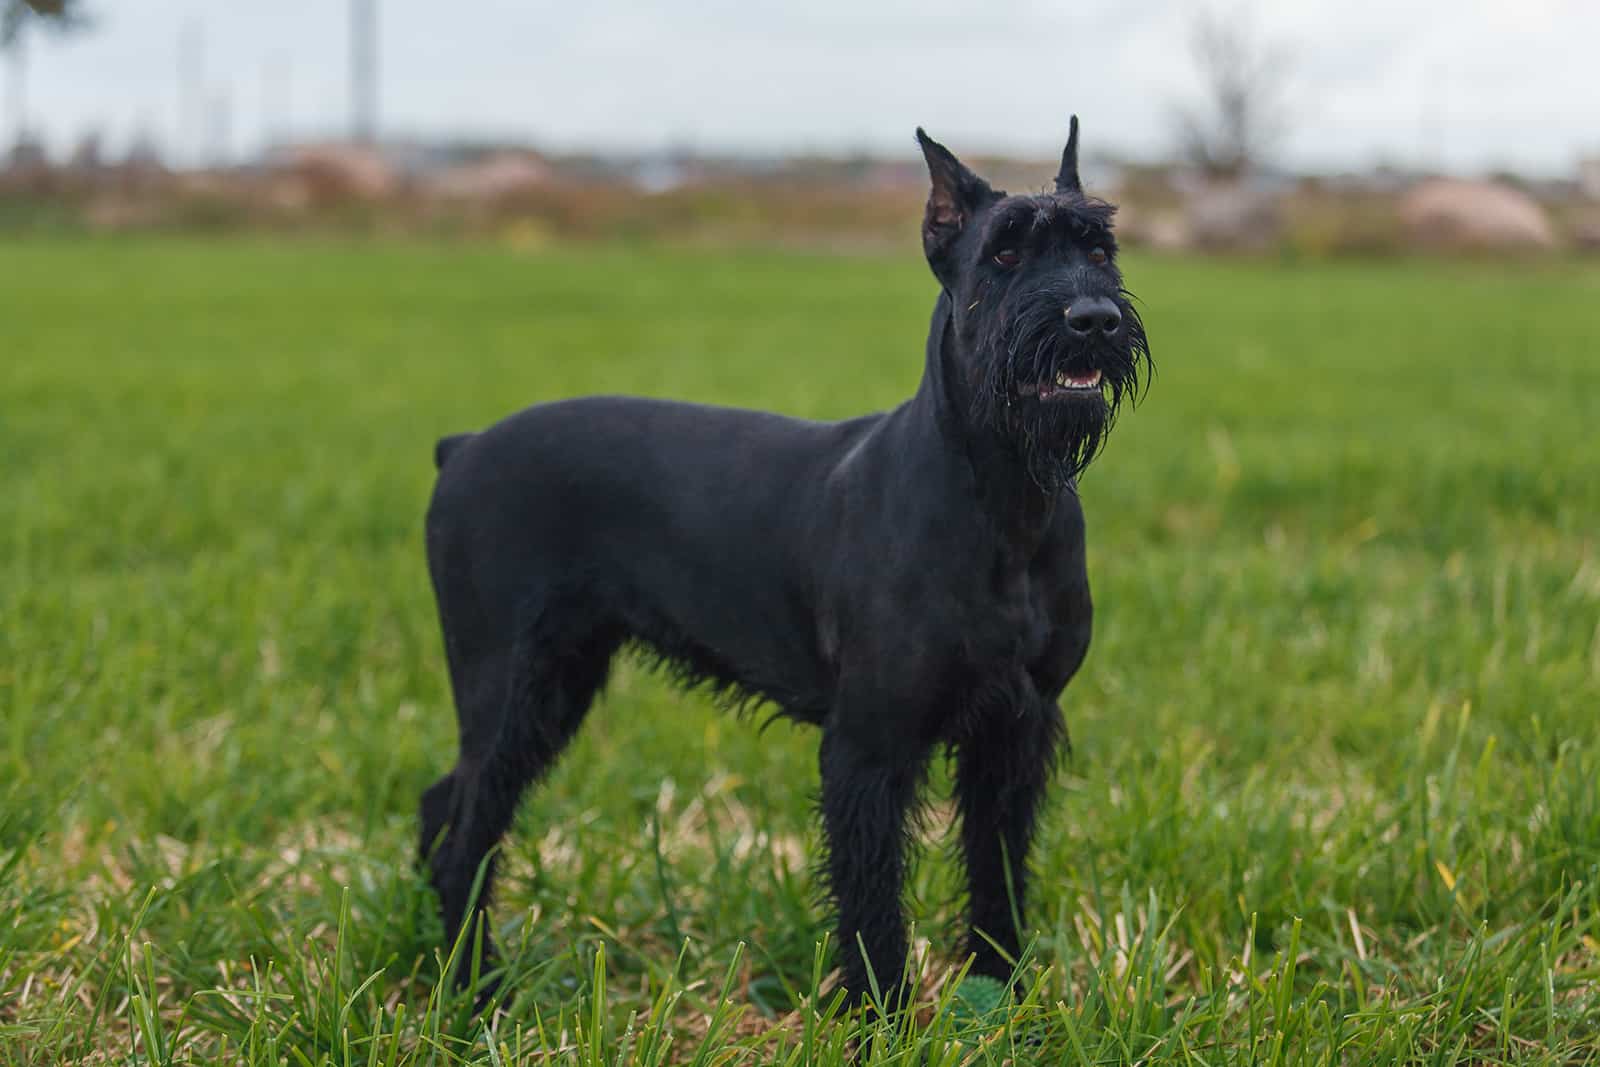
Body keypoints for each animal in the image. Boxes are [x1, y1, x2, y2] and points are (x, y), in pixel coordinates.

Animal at [422, 120, 1152, 1004]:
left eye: (1100, 247)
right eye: (1005, 253)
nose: (1093, 318)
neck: (1003, 502)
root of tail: (461, 449)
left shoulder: (1015, 730)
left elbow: (997, 871)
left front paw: (1005, 992)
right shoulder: (870, 742)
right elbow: (871, 892)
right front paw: (882, 1010)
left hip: (549, 685)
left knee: (442, 805)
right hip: (510, 689)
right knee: (466, 834)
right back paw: (474, 983)